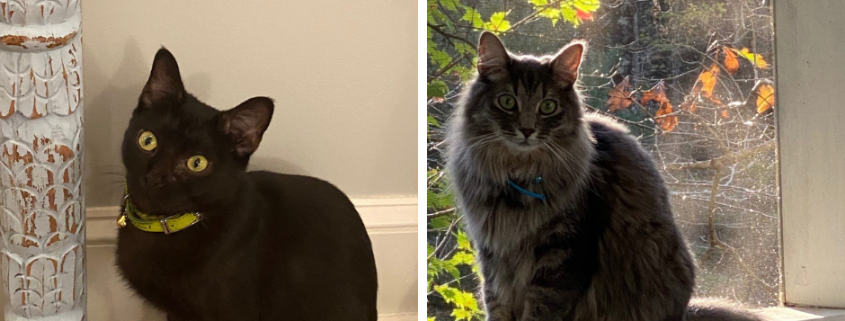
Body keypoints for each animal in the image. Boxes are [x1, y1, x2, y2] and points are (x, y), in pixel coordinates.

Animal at [446, 30, 760, 320]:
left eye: (548, 106)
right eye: (508, 102)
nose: (526, 130)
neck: (517, 174)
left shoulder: (563, 255)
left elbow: (540, 310)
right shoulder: (492, 256)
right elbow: (496, 305)